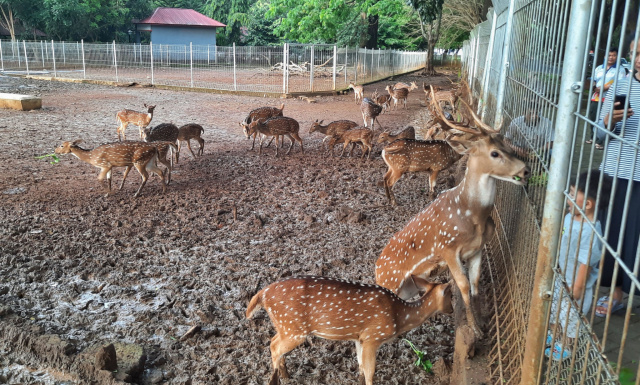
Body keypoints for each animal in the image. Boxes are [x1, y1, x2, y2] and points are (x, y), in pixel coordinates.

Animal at [248, 274, 452, 384]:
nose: (451, 309)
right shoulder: (373, 337)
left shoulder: (359, 338)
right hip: (294, 328)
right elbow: (370, 372)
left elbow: (361, 367)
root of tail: (261, 294)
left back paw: (286, 375)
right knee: (274, 346)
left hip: (285, 326)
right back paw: (276, 379)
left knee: (274, 342)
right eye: (451, 297)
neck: (399, 317)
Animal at [376, 85, 528, 336]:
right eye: (494, 153)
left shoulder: (477, 249)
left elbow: (475, 286)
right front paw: (475, 330)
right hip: (391, 280)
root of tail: (376, 268)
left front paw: (482, 323)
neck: (473, 216)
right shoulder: (448, 249)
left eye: (507, 146)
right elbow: (464, 287)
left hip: (408, 286)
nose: (525, 170)